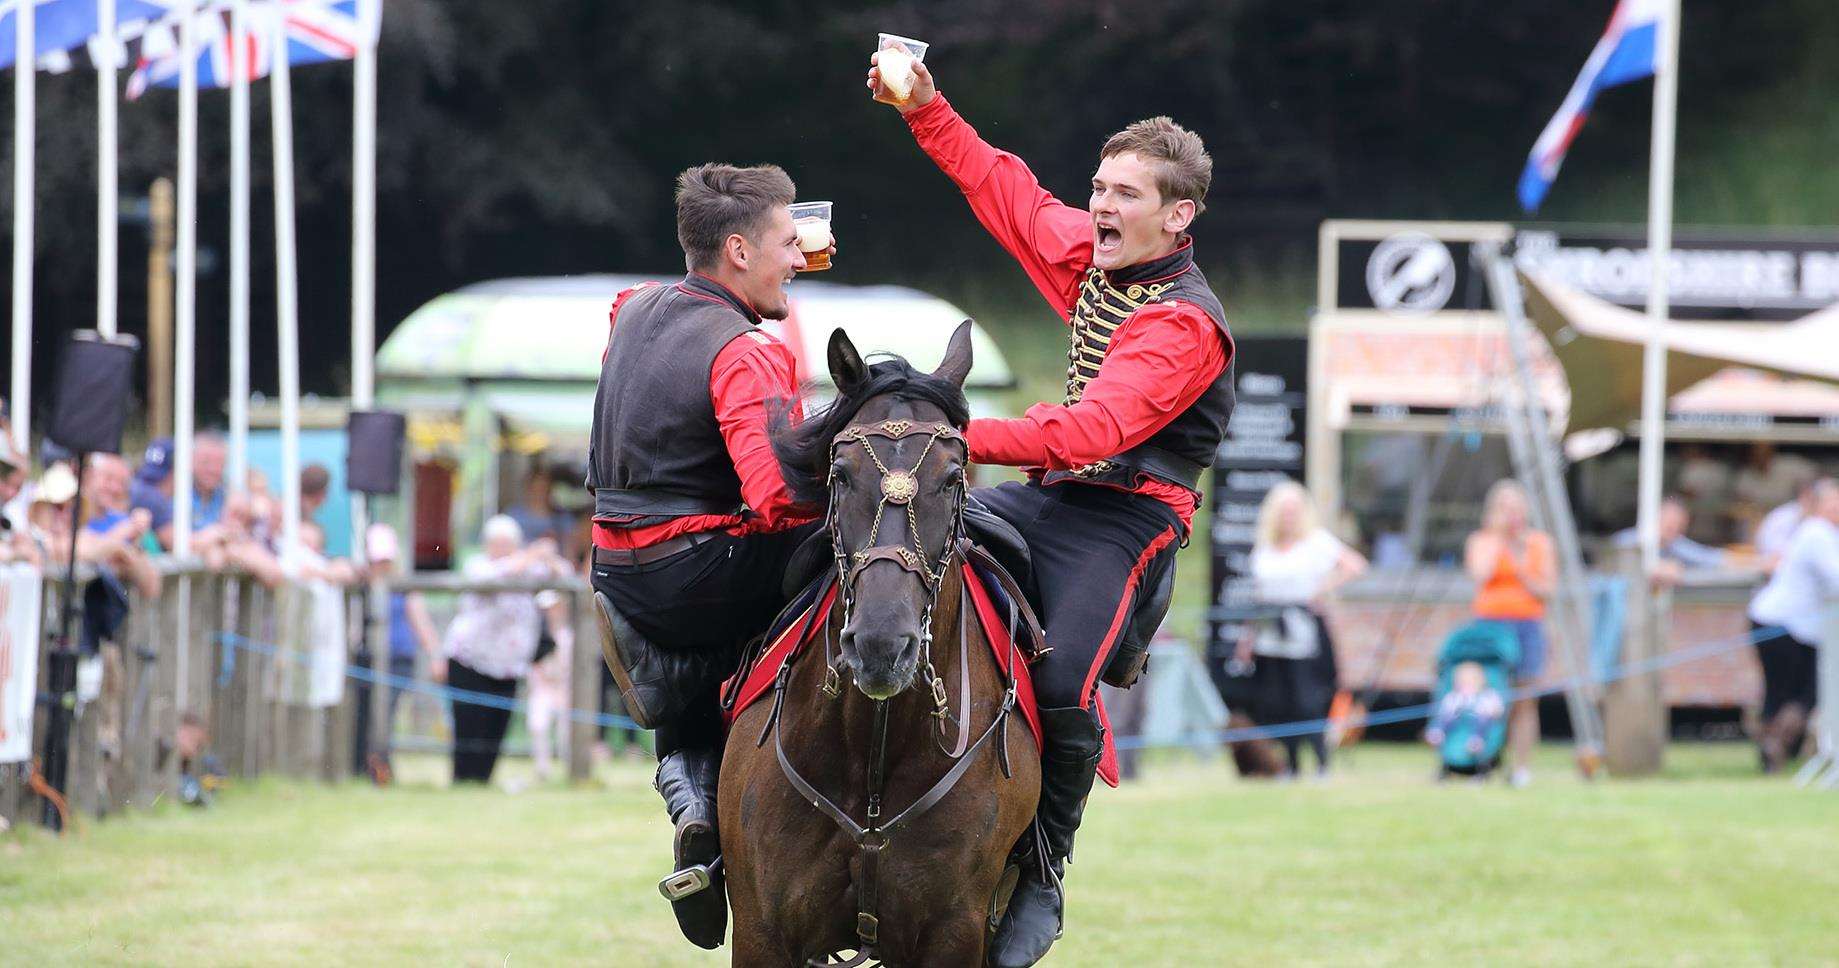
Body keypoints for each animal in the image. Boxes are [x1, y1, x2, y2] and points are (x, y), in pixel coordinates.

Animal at [717, 322, 1044, 964]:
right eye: (840, 474)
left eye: (953, 478)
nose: (880, 647)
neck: (872, 746)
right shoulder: (761, 931)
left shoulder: (955, 934)